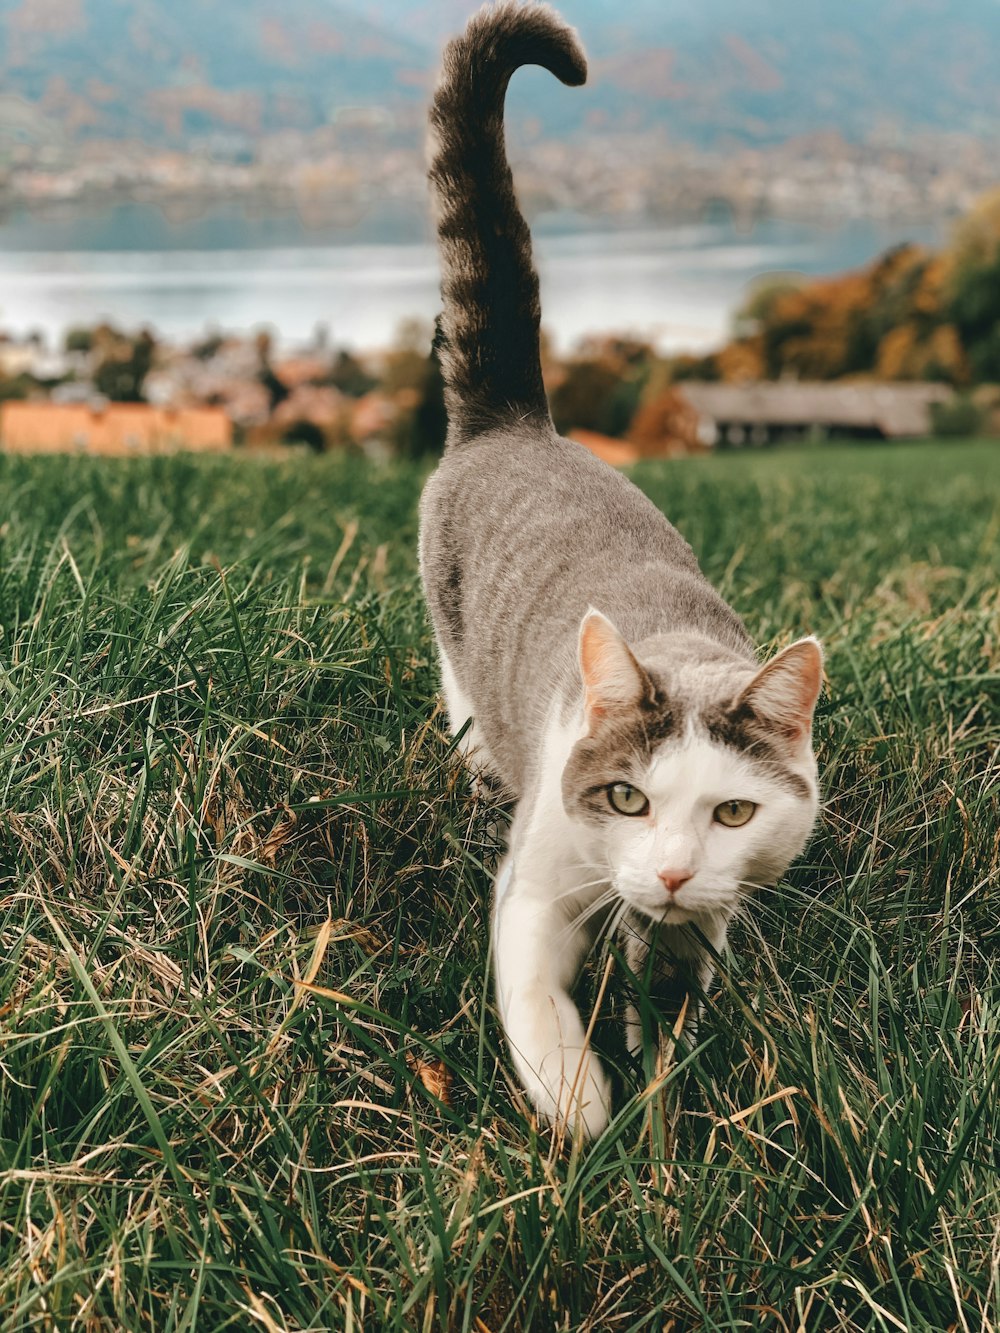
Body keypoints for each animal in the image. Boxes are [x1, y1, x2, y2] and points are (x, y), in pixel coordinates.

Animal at [418, 2, 826, 1146]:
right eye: (627, 798)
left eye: (733, 813)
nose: (674, 869)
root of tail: (519, 419)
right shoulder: (536, 882)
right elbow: (532, 993)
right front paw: (581, 1109)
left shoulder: (708, 919)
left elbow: (681, 1003)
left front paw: (663, 1095)